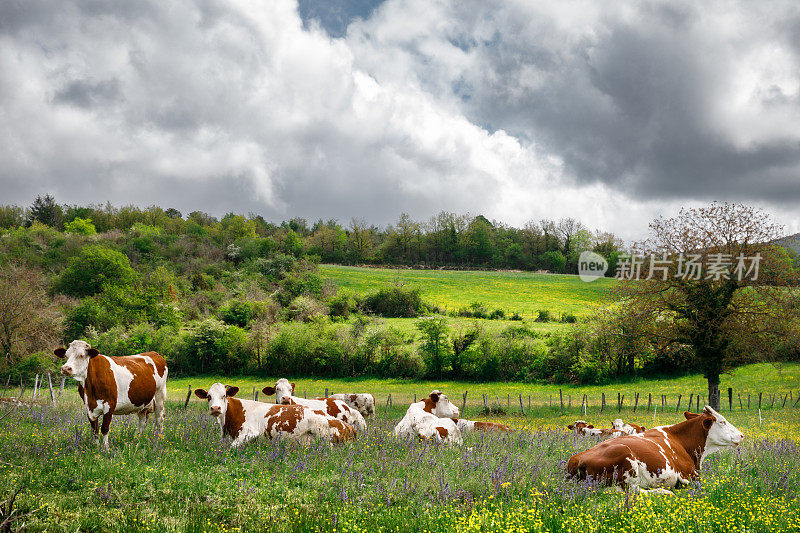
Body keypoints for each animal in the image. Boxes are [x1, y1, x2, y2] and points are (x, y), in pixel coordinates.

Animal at [194, 380, 354, 446]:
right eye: (208, 396)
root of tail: (349, 427)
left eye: (224, 395)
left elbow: (231, 447)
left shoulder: (249, 433)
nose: (216, 408)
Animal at [568, 408, 744, 494]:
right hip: (626, 458)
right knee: (632, 491)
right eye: (722, 421)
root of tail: (576, 459)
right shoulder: (690, 475)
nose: (741, 435)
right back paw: (664, 491)